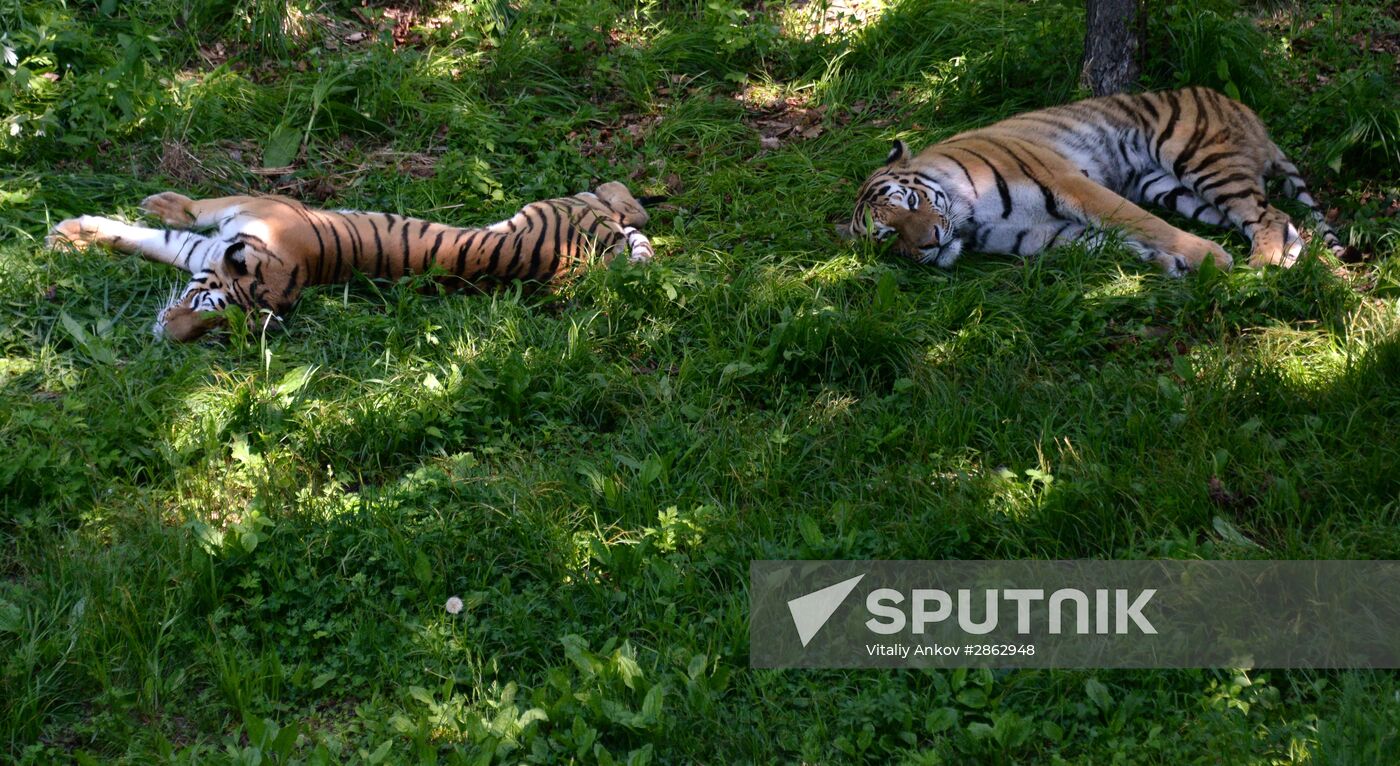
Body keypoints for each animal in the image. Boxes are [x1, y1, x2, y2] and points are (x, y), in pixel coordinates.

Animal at [42, 183, 655, 341]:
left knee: (620, 201)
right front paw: (69, 235)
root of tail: (597, 257)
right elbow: (143, 234)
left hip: (553, 206)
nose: (166, 336)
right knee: (628, 211)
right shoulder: (209, 241)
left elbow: (190, 212)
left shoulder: (243, 208)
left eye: (213, 321)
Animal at [840, 86, 1344, 275]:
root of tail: (1244, 109)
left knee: (1267, 214)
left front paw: (1209, 260)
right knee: (1283, 218)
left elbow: (1142, 224)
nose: (928, 244)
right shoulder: (1044, 236)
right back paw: (1287, 258)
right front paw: (1171, 265)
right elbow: (1119, 243)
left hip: (1198, 159)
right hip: (1174, 190)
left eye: (910, 203)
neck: (969, 220)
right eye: (887, 237)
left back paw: (1260, 265)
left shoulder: (1068, 182)